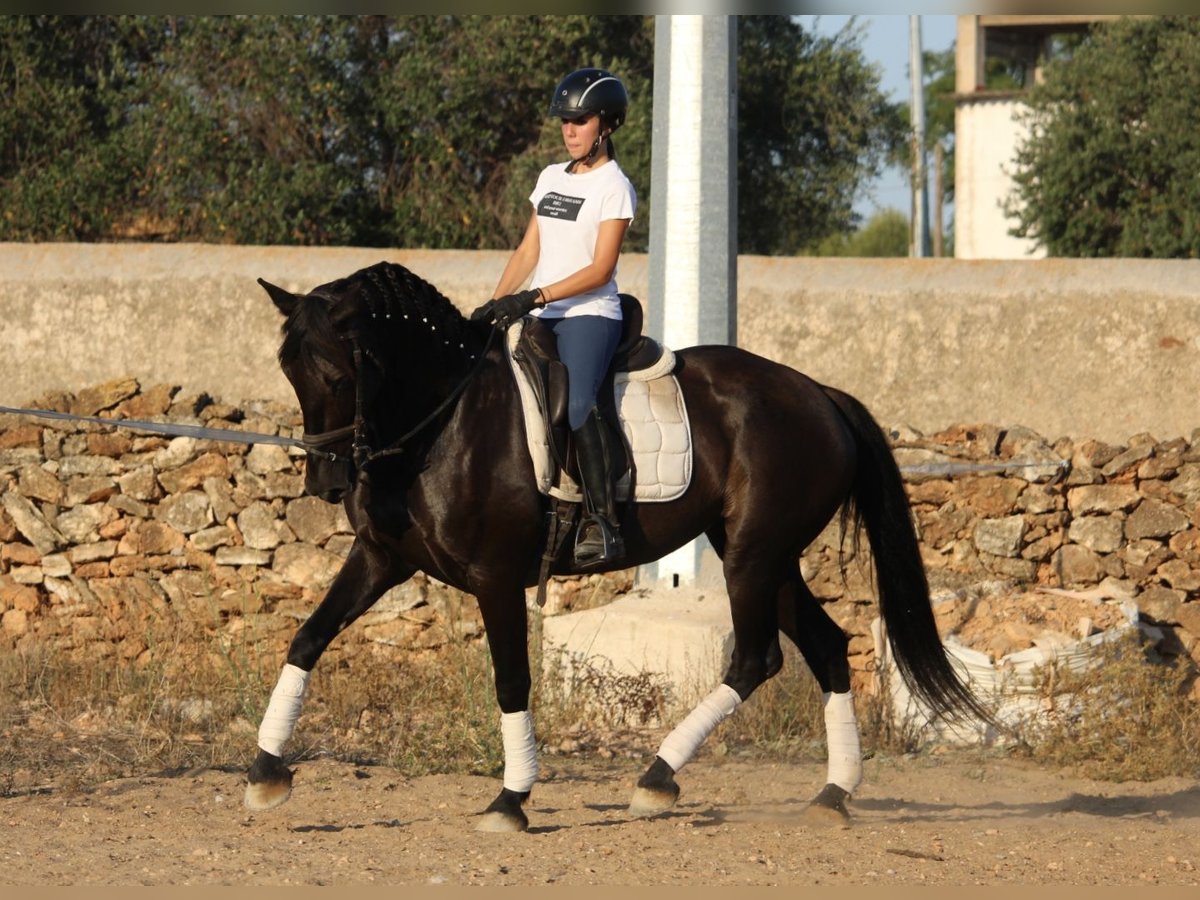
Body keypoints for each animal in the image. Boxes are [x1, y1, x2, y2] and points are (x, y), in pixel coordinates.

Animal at [238, 259, 988, 830]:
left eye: (340, 376)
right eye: (286, 370)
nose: (327, 482)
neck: (443, 420)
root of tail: (821, 395)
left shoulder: (495, 577)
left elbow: (511, 679)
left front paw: (511, 800)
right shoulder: (382, 559)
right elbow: (307, 638)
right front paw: (266, 771)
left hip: (753, 555)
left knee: (756, 657)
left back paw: (657, 779)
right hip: (765, 556)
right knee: (827, 646)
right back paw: (833, 792)